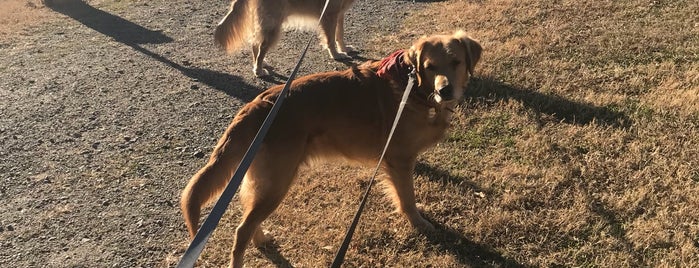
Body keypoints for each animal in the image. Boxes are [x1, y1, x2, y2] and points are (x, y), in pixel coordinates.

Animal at [183, 30, 484, 266]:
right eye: (430, 66)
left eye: (456, 62)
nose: (445, 91)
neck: (414, 88)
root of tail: (257, 105)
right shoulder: (400, 160)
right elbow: (407, 199)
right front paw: (419, 223)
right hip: (277, 183)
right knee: (242, 230)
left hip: (265, 184)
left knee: (248, 217)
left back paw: (262, 239)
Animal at [216, 0, 358, 76]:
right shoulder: (330, 13)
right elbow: (330, 39)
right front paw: (336, 55)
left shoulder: (339, 13)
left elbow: (340, 34)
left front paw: (344, 49)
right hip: (274, 24)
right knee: (261, 46)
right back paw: (259, 69)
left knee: (255, 43)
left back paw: (260, 63)